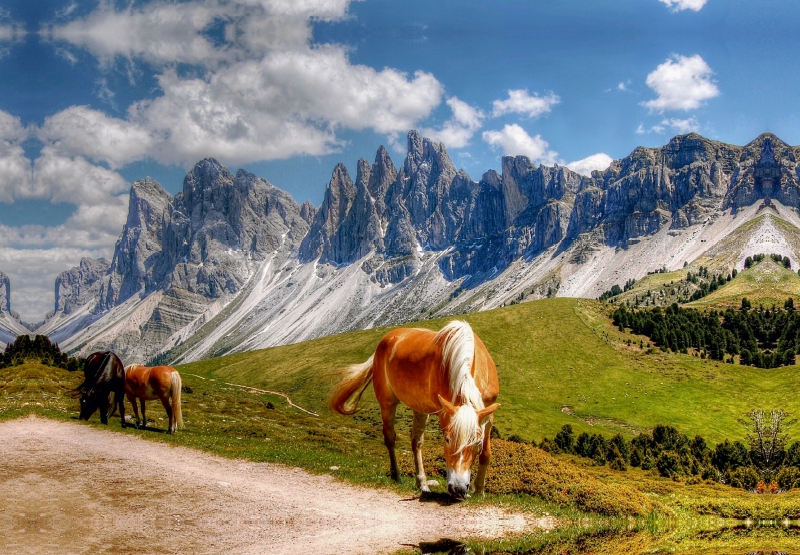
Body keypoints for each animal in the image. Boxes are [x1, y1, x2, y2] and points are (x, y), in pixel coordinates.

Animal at [328, 322, 496, 500]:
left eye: (477, 443)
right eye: (447, 439)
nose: (458, 488)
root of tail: (387, 339)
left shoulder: (488, 415)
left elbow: (486, 453)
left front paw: (479, 490)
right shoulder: (444, 414)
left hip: (420, 408)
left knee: (416, 442)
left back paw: (422, 483)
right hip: (387, 403)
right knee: (390, 438)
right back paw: (397, 476)